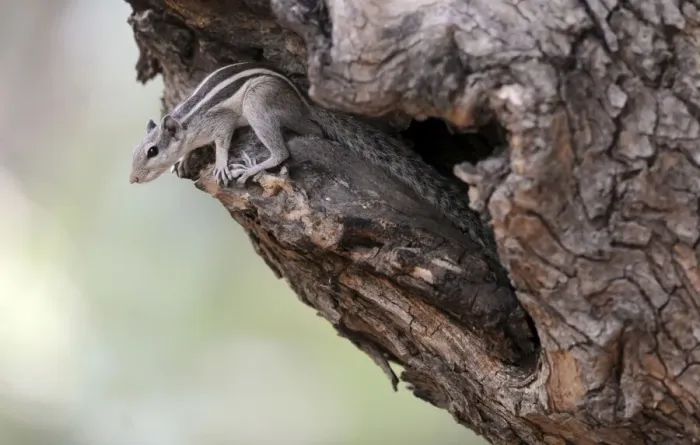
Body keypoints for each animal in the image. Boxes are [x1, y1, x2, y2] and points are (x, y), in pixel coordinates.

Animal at [129, 62, 495, 252]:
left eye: (152, 151)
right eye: (135, 153)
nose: (132, 180)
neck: (188, 121)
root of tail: (303, 103)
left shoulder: (218, 122)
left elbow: (221, 141)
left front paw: (218, 164)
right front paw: (181, 161)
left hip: (258, 105)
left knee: (291, 144)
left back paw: (254, 166)